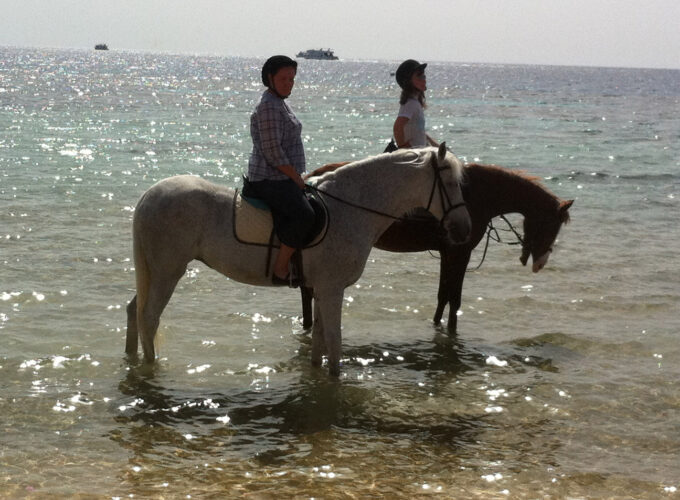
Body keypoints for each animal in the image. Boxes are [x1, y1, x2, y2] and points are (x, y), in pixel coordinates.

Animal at [125, 144, 471, 376]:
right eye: (449, 184)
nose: (463, 229)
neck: (351, 208)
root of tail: (149, 196)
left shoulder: (320, 289)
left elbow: (318, 341)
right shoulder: (332, 289)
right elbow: (334, 342)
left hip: (155, 271)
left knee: (134, 310)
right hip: (168, 271)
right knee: (149, 317)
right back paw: (151, 367)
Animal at [300, 163, 573, 333]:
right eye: (552, 226)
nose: (541, 264)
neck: (479, 194)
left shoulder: (448, 254)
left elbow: (444, 294)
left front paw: (436, 323)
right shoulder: (459, 253)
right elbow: (454, 297)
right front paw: (450, 329)